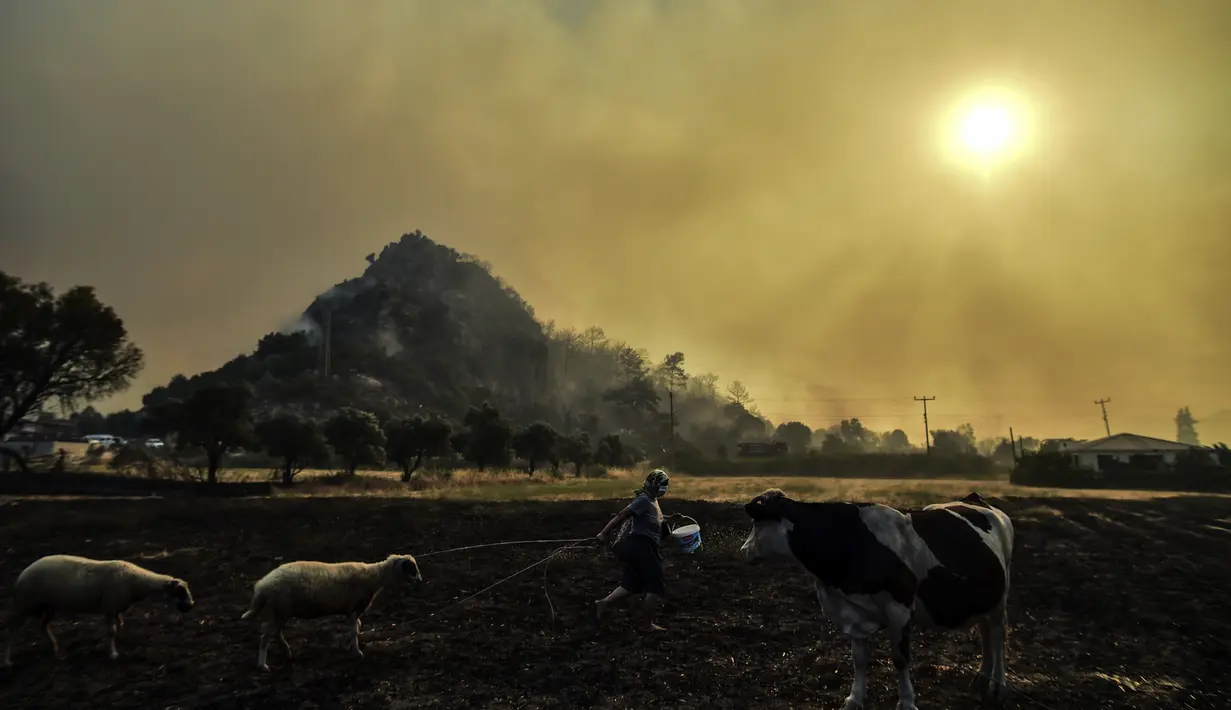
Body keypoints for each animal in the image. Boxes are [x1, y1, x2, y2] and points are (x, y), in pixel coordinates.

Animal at [3, 553, 194, 664]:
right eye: (180, 592)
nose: (191, 606)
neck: (136, 581)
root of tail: (22, 573)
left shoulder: (116, 608)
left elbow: (119, 625)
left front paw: (119, 641)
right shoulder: (109, 607)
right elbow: (111, 630)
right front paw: (113, 654)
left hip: (49, 605)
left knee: (42, 625)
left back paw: (56, 648)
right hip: (25, 604)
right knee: (12, 630)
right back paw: (7, 661)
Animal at [240, 553, 423, 669]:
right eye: (412, 568)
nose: (420, 581)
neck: (373, 577)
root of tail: (261, 587)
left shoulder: (351, 610)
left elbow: (355, 628)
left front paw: (353, 646)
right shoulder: (354, 607)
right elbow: (353, 630)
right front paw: (357, 652)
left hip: (280, 611)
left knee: (276, 634)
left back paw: (287, 653)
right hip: (279, 610)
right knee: (265, 638)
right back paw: (263, 665)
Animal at [738, 487, 1009, 708]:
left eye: (757, 524)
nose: (743, 551)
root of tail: (974, 499)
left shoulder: (899, 609)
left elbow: (900, 659)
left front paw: (906, 702)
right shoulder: (853, 613)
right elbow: (858, 659)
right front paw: (854, 698)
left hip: (1000, 601)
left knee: (997, 637)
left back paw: (997, 686)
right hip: (986, 599)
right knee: (985, 632)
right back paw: (982, 678)